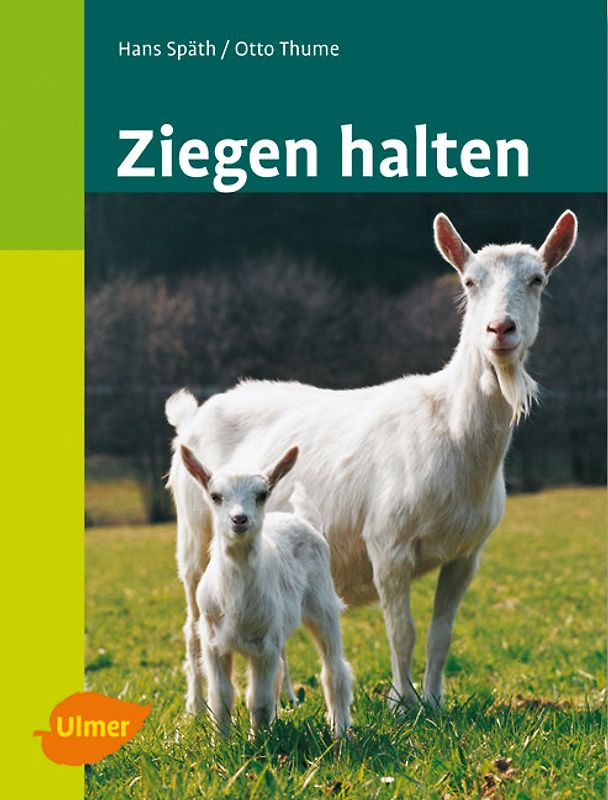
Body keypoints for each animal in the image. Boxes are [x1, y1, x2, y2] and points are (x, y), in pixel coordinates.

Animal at [178, 443, 353, 737]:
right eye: (215, 497)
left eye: (262, 495)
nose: (239, 518)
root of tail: (302, 520)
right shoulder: (214, 643)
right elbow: (221, 697)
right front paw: (222, 742)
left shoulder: (264, 645)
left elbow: (258, 700)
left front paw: (258, 741)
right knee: (282, 672)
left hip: (323, 605)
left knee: (334, 670)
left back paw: (339, 731)